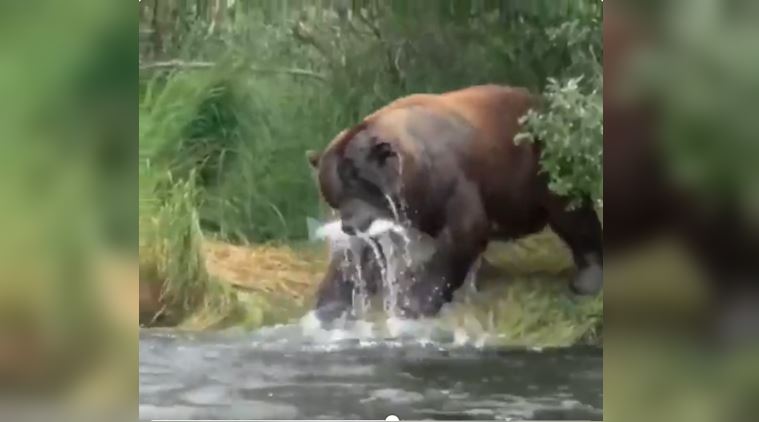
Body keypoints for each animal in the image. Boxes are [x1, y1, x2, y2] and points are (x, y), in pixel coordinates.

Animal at [306, 86, 604, 324]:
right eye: (332, 193)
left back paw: (587, 279)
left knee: (572, 214)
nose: (350, 225)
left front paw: (416, 303)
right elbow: (360, 255)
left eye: (359, 183)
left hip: (541, 164)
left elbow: (463, 232)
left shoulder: (454, 182)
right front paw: (329, 303)